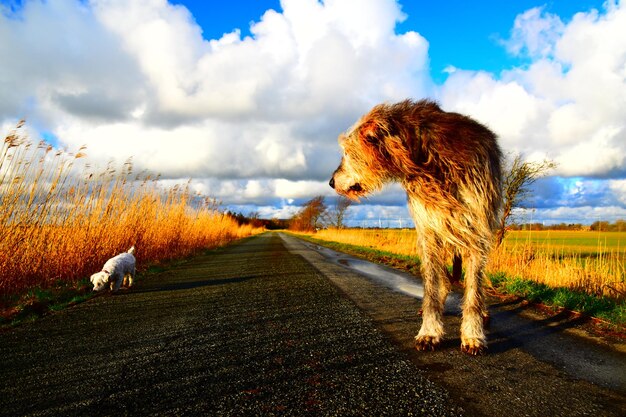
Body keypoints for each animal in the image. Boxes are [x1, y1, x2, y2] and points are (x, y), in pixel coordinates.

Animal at [330, 98, 500, 354]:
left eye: (348, 152)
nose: (331, 182)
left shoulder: (476, 232)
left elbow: (474, 291)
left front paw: (473, 335)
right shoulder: (428, 232)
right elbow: (431, 287)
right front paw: (430, 331)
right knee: (441, 278)